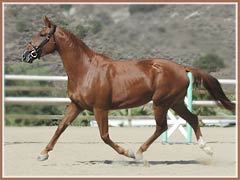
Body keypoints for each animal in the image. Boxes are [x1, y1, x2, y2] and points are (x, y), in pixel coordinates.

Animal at [21, 16, 235, 161]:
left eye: (42, 35)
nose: (25, 55)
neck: (85, 69)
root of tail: (182, 68)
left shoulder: (100, 108)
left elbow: (104, 136)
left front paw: (127, 153)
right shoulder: (77, 105)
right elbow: (61, 127)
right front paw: (43, 153)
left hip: (161, 103)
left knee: (162, 126)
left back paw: (139, 153)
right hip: (175, 102)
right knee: (192, 118)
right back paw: (206, 149)